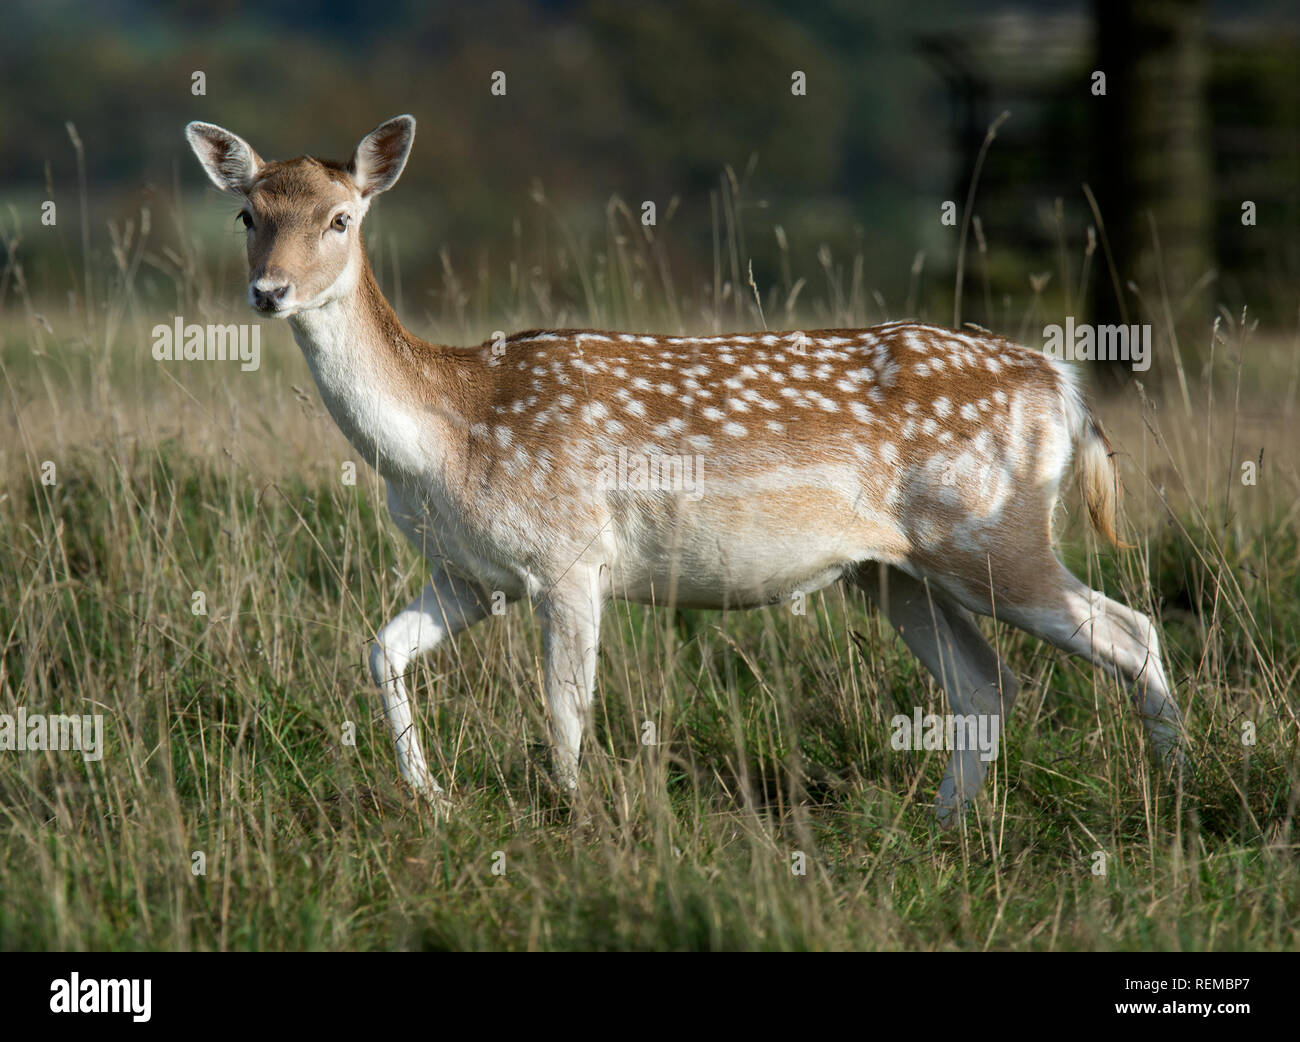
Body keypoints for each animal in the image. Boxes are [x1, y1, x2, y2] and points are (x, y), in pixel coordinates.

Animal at [185, 109, 1190, 815]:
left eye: (342, 218)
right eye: (246, 212)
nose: (268, 291)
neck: (449, 436)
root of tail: (1063, 385)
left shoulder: (569, 554)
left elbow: (564, 710)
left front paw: (576, 816)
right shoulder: (471, 572)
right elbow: (380, 649)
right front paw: (429, 796)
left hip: (992, 529)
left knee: (1129, 631)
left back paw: (1175, 797)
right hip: (894, 570)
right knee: (985, 680)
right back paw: (949, 825)